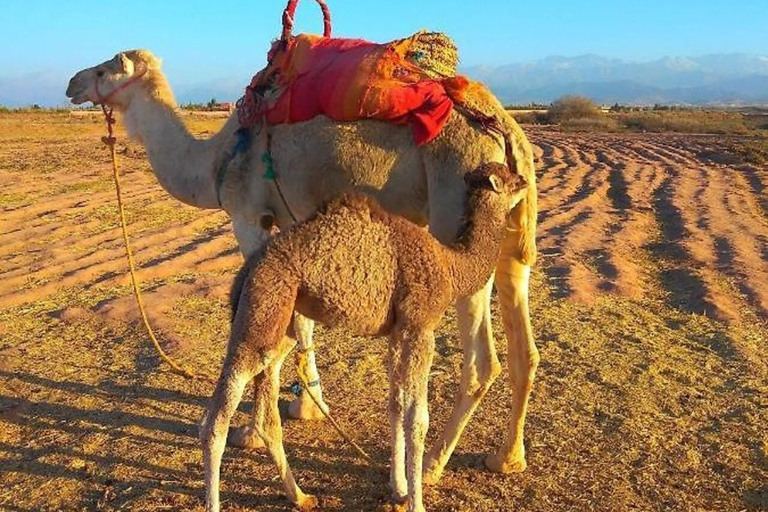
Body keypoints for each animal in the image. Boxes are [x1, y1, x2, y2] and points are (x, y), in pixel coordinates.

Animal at [200, 163, 528, 512]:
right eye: (509, 180)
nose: (525, 180)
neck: (450, 267)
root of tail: (248, 269)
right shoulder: (419, 326)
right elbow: (417, 420)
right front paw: (416, 502)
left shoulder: (398, 332)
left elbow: (396, 405)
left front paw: (399, 488)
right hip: (262, 311)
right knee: (215, 420)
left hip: (279, 321)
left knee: (268, 410)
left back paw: (300, 496)